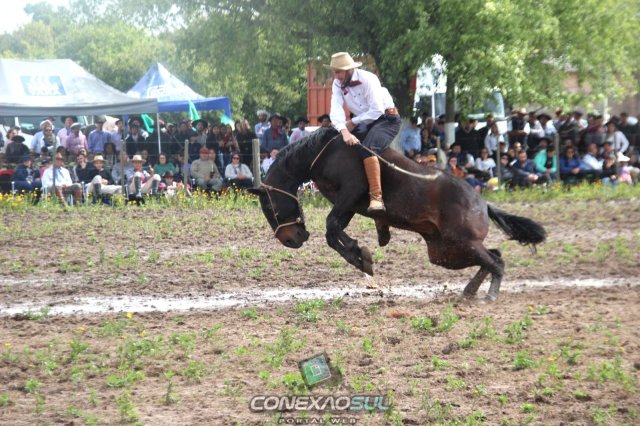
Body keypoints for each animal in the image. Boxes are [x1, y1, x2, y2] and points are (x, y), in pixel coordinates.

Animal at [249, 127, 546, 301]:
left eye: (270, 207)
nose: (290, 239)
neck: (323, 153)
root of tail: (482, 202)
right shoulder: (349, 205)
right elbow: (333, 232)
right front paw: (361, 255)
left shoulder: (351, 192)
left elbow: (331, 226)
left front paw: (362, 256)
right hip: (446, 252)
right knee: (494, 256)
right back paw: (469, 292)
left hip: (461, 243)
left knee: (496, 262)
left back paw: (488, 296)